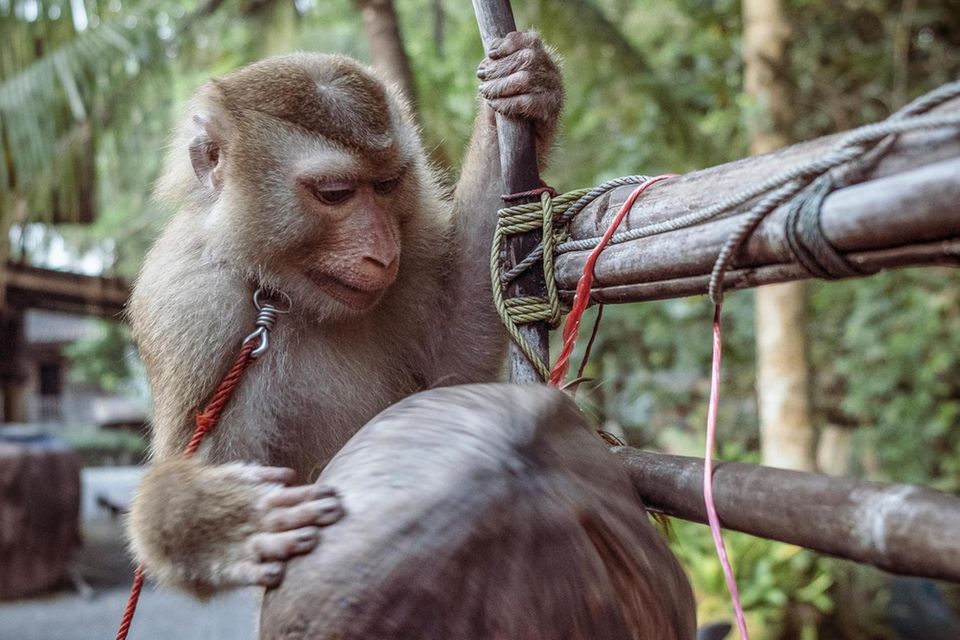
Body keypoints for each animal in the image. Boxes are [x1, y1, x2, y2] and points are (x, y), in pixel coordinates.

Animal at [126, 32, 564, 596]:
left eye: (387, 185)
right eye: (334, 194)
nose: (383, 253)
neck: (280, 291)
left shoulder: (415, 237)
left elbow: (450, 360)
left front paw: (525, 84)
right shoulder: (190, 307)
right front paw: (215, 520)